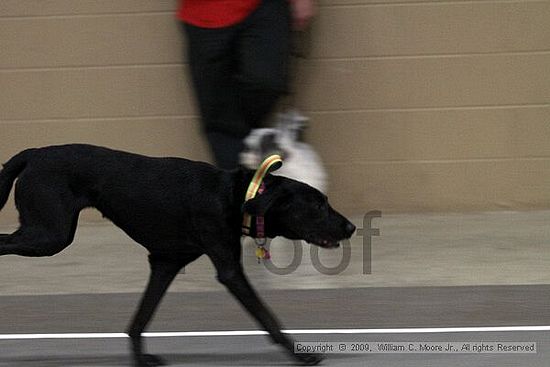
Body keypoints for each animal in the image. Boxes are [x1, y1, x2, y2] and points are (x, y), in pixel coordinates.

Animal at [0, 145, 358, 367]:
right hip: (49, 235)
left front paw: (141, 359)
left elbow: (140, 319)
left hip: (46, 234)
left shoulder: (165, 263)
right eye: (318, 205)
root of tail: (33, 154)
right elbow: (267, 317)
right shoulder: (229, 270)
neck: (237, 195)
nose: (352, 226)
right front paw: (301, 355)